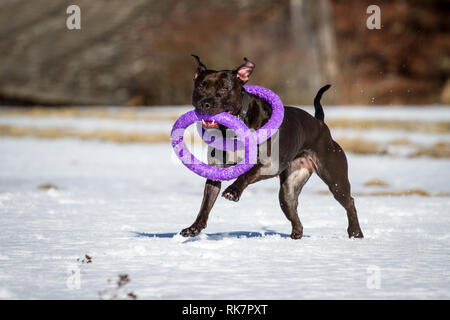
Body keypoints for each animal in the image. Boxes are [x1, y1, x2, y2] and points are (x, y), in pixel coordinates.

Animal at [181, 55, 364, 240]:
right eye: (200, 87)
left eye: (224, 88)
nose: (205, 103)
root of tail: (320, 123)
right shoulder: (216, 171)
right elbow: (205, 204)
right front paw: (194, 228)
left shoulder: (267, 165)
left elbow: (247, 173)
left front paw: (233, 190)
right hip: (288, 190)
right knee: (291, 208)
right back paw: (296, 235)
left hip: (335, 180)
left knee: (349, 202)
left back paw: (355, 233)